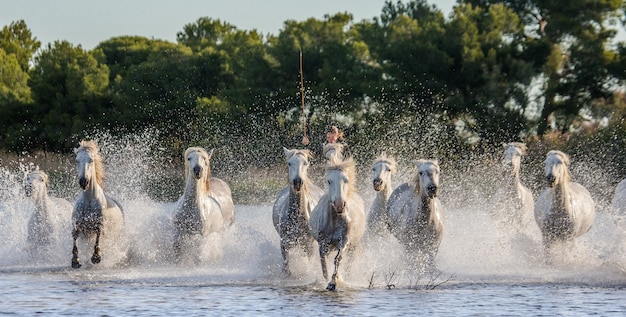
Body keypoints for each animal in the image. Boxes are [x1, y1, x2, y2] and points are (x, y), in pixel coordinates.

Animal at [308, 156, 366, 288]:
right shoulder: (323, 244)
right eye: (329, 181)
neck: (335, 220)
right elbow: (324, 265)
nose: (339, 205)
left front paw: (333, 282)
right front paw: (326, 281)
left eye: (346, 180)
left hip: (354, 245)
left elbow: (337, 260)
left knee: (349, 263)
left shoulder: (344, 242)